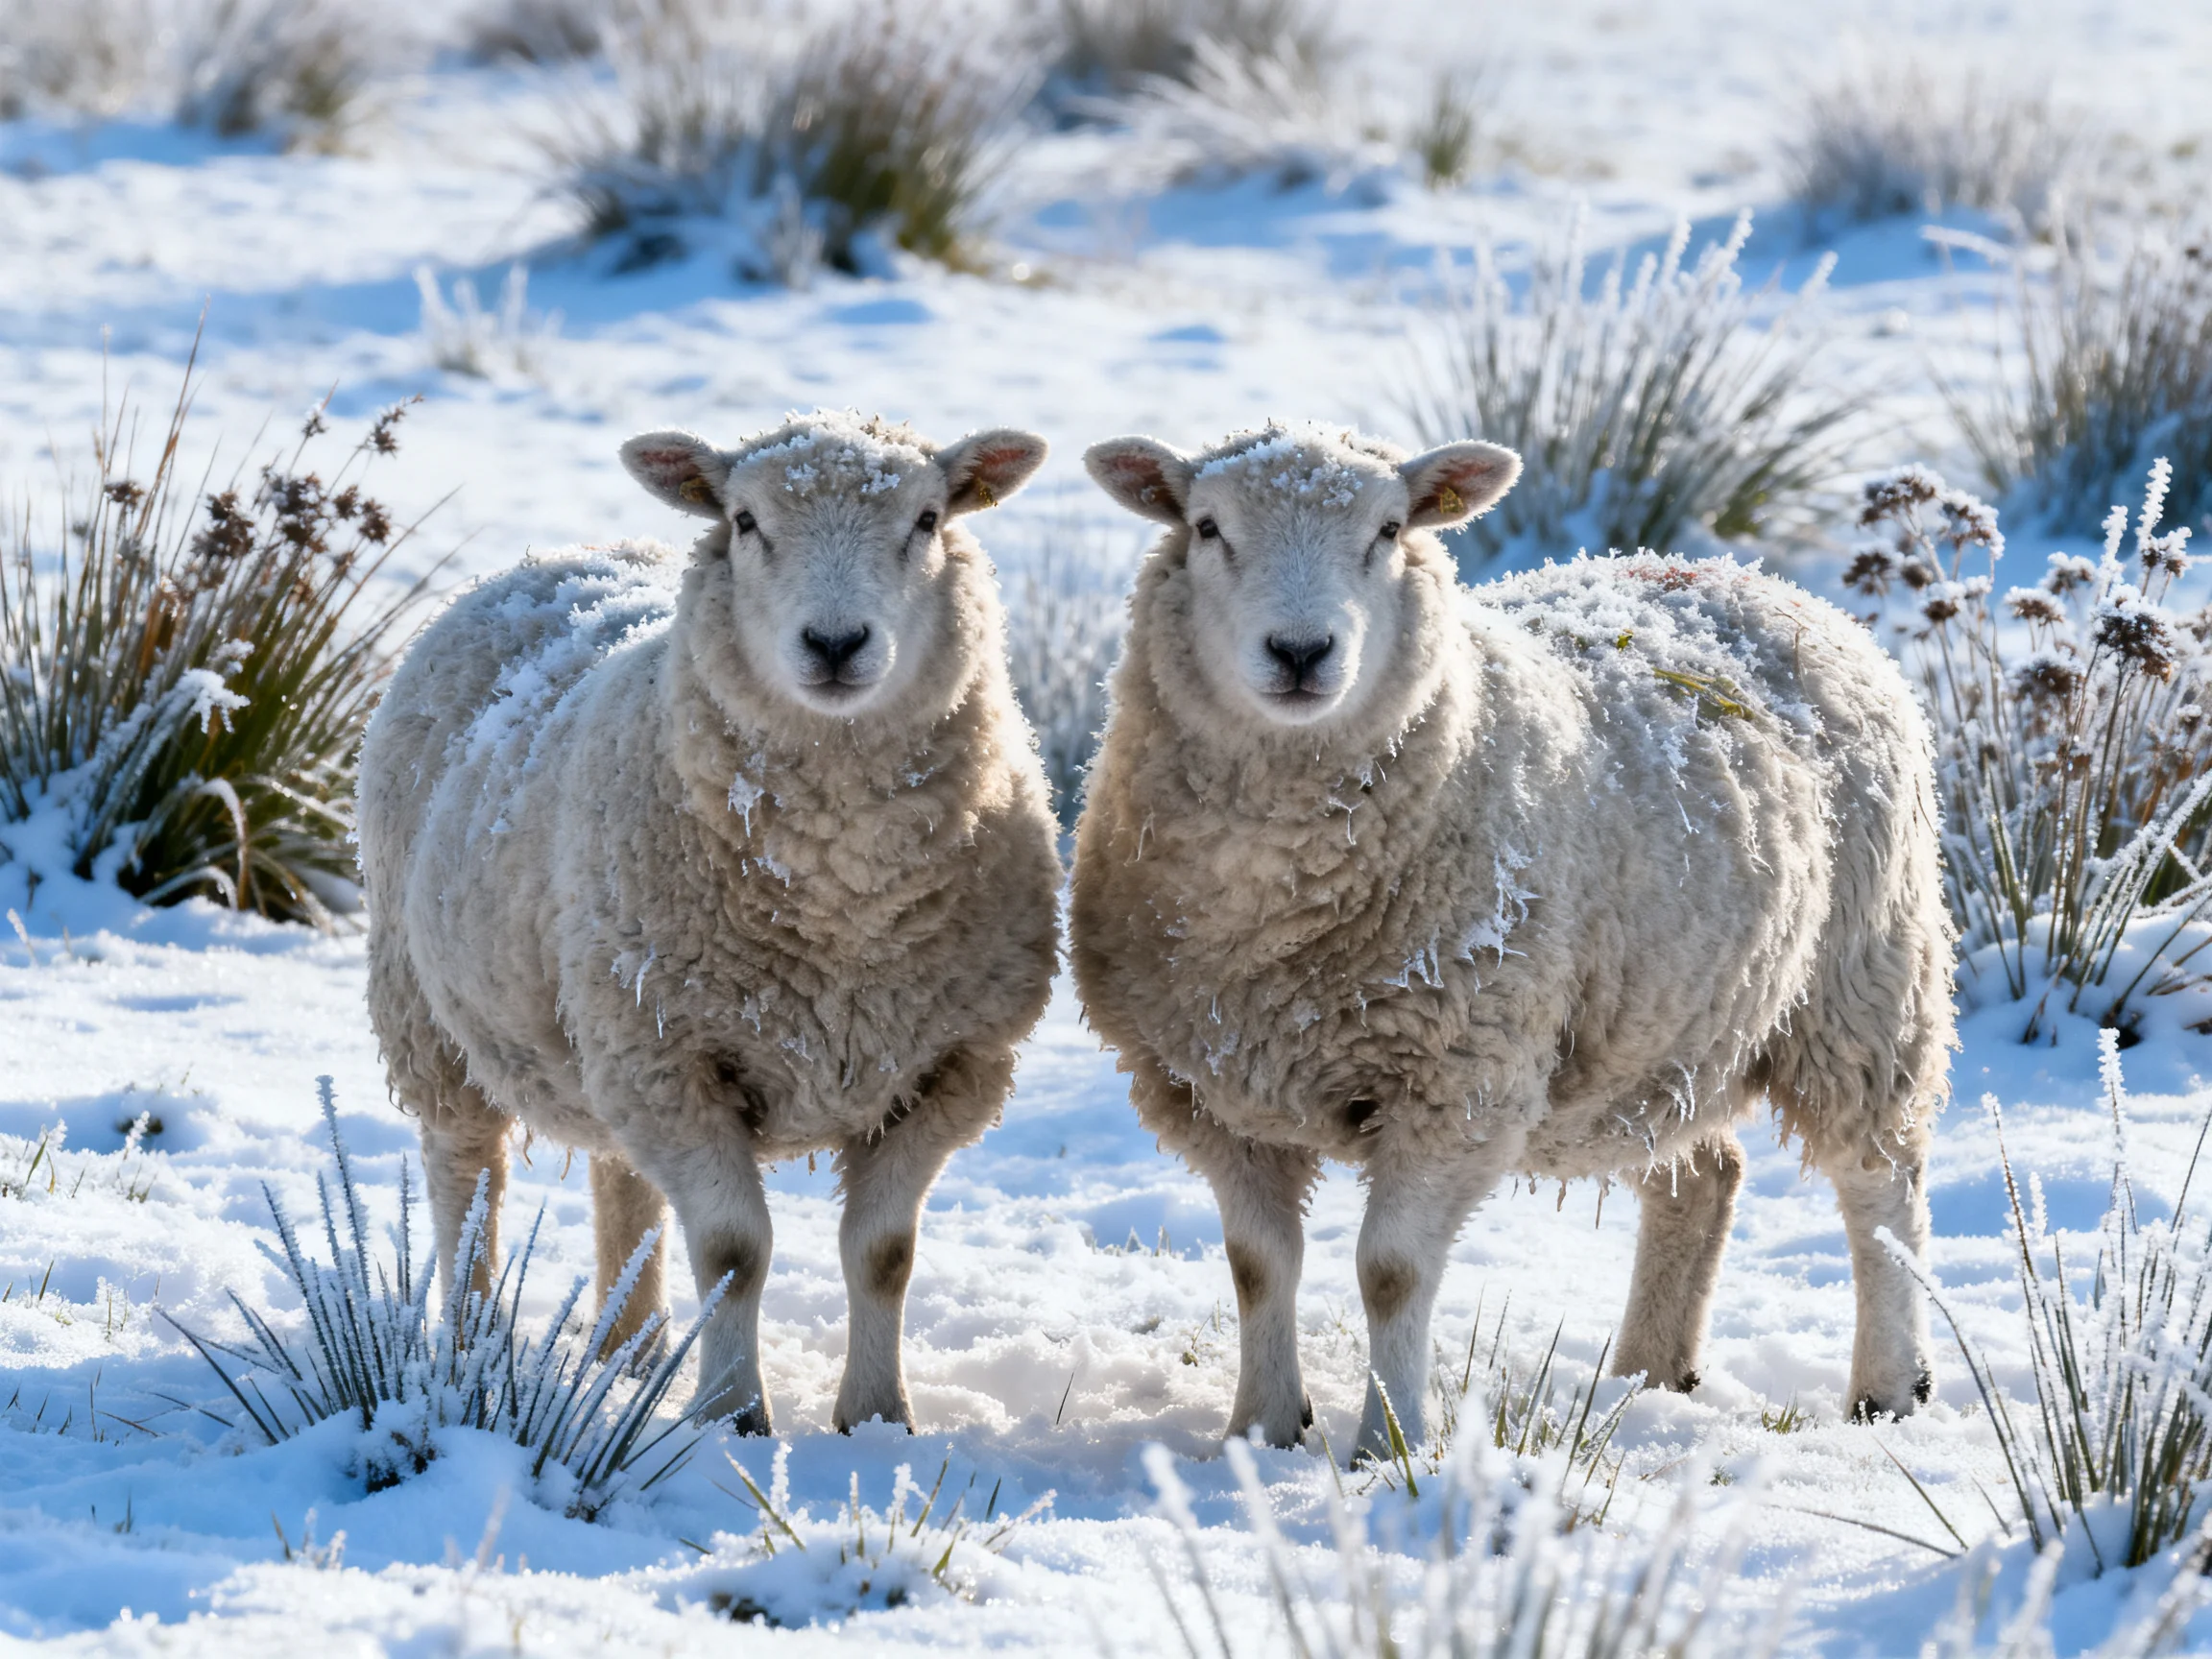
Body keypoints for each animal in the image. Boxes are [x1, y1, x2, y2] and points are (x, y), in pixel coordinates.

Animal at [357, 410, 1062, 1435]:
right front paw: (730, 1413)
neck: (842, 898)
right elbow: (733, 1250)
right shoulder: (677, 1058)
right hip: (435, 1013)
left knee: (622, 1178)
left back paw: (633, 1348)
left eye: (928, 519)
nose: (836, 642)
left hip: (607, 1029)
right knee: (467, 1175)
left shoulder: (947, 1067)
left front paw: (876, 1417)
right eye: (745, 521)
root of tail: (554, 556)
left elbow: (883, 1254)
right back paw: (473, 1342)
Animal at [1072, 423, 1954, 1462]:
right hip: (1661, 1023)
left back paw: (1888, 1388)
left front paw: (1390, 1446)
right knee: (1705, 1176)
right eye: (1207, 527)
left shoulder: (1457, 1077)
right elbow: (1258, 1264)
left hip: (1863, 982)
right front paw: (1259, 1432)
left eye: (1390, 530)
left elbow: (1391, 1271)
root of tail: (1764, 580)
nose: (1300, 651)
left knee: (1882, 1186)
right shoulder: (1214, 1091)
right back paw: (1648, 1373)